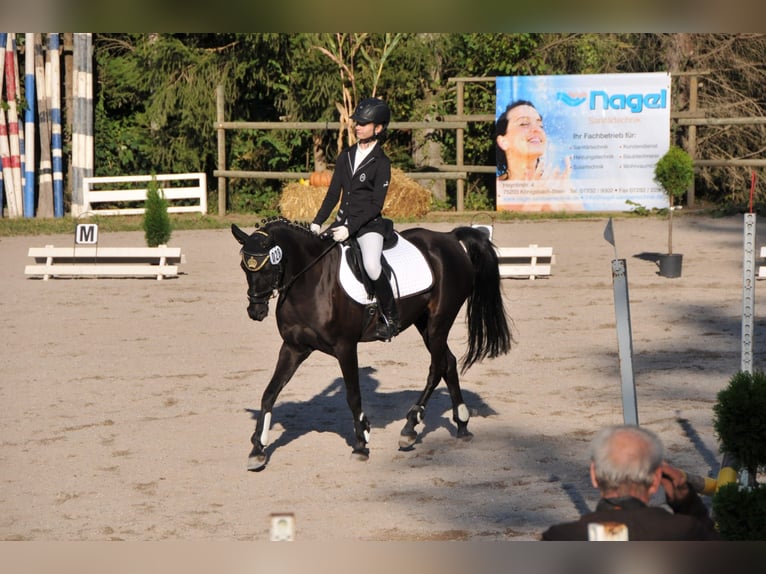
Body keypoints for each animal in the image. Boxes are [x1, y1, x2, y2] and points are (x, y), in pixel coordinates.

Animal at [231, 218, 512, 470]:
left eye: (268, 268)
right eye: (245, 269)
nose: (255, 311)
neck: (310, 281)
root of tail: (450, 238)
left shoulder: (345, 347)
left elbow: (353, 395)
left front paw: (361, 444)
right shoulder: (293, 347)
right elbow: (269, 393)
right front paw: (258, 449)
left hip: (439, 322)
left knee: (437, 367)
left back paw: (410, 427)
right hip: (424, 323)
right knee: (449, 363)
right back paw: (461, 425)